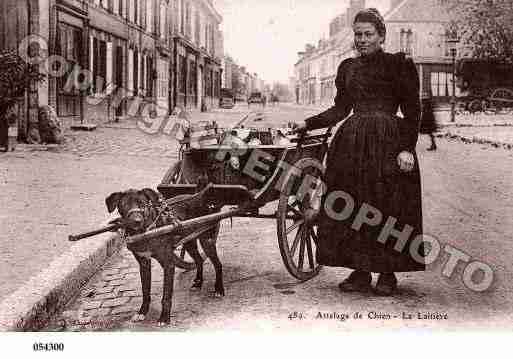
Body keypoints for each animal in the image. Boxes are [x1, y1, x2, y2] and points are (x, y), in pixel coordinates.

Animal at [105, 183, 223, 326]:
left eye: (143, 204)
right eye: (124, 204)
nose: (136, 221)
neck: (146, 231)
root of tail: (199, 197)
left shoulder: (168, 263)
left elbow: (166, 295)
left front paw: (164, 318)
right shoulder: (144, 263)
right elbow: (145, 292)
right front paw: (142, 312)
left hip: (207, 240)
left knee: (218, 264)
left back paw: (219, 289)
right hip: (190, 242)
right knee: (199, 260)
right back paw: (198, 283)